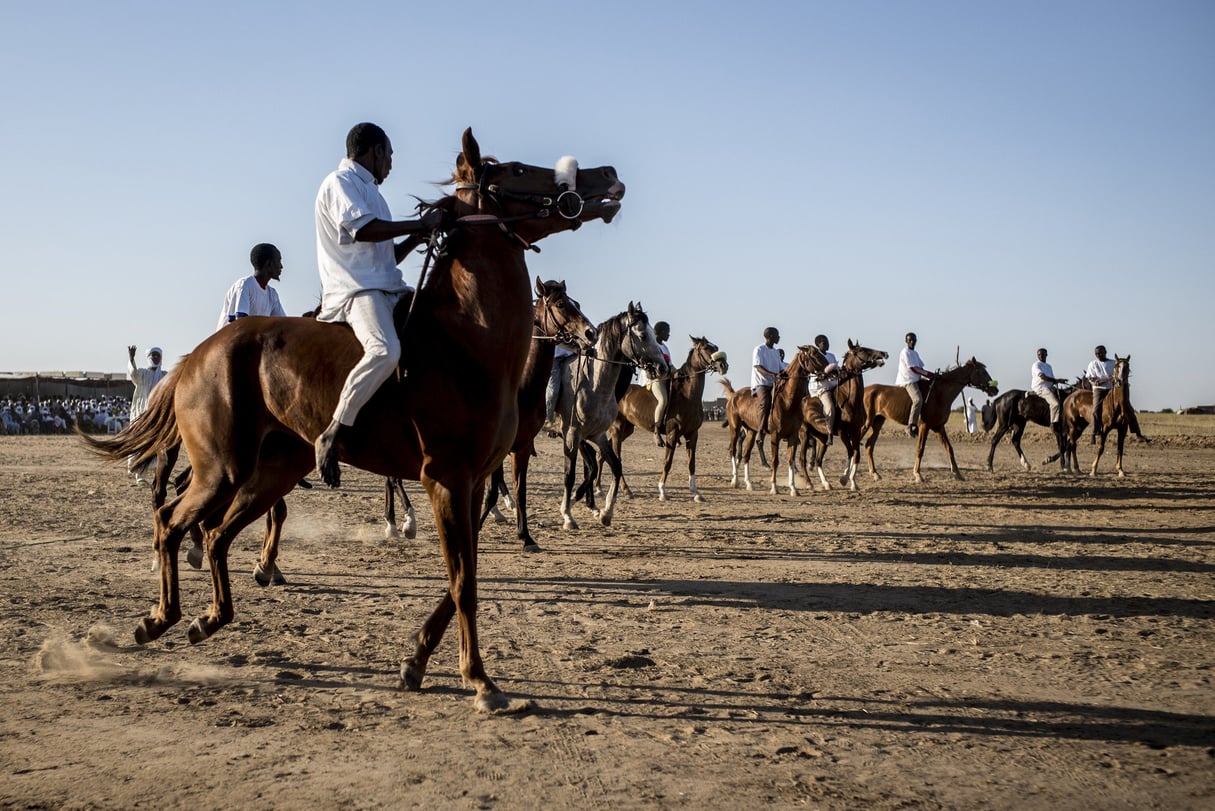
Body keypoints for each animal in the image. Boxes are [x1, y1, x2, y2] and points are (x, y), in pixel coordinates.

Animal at [79, 125, 626, 710]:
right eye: (519, 170)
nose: (607, 175)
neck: (468, 341)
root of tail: (197, 355)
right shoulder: (446, 478)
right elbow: (464, 583)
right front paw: (480, 680)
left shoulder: (474, 481)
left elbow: (465, 573)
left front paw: (416, 661)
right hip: (222, 470)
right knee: (172, 521)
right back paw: (159, 617)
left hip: (273, 470)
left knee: (217, 534)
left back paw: (208, 617)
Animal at [605, 335, 724, 500]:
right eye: (706, 348)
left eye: (715, 347)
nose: (723, 364)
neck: (687, 395)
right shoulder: (672, 434)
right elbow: (668, 462)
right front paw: (662, 491)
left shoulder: (692, 434)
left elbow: (691, 463)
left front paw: (695, 492)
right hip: (617, 428)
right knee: (616, 457)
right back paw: (626, 490)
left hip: (627, 429)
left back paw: (598, 488)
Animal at [714, 342, 831, 496]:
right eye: (815, 354)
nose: (833, 370)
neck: (787, 401)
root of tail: (734, 395)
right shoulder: (775, 435)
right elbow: (776, 461)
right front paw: (774, 488)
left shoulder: (793, 436)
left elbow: (791, 460)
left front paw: (793, 489)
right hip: (735, 427)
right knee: (733, 451)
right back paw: (735, 481)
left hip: (751, 431)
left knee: (746, 455)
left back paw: (749, 483)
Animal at [792, 340, 889, 491]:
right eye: (860, 350)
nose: (883, 354)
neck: (850, 401)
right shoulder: (843, 432)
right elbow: (850, 452)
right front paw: (844, 479)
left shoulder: (856, 432)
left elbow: (856, 454)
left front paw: (853, 483)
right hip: (804, 434)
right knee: (802, 459)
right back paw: (809, 483)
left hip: (822, 438)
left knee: (819, 460)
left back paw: (826, 484)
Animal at [865, 357, 996, 481]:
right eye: (981, 371)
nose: (995, 390)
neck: (939, 393)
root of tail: (865, 390)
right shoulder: (924, 426)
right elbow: (920, 449)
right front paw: (917, 474)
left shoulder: (939, 427)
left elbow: (949, 448)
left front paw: (958, 474)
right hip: (866, 423)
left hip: (877, 422)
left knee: (869, 445)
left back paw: (875, 473)